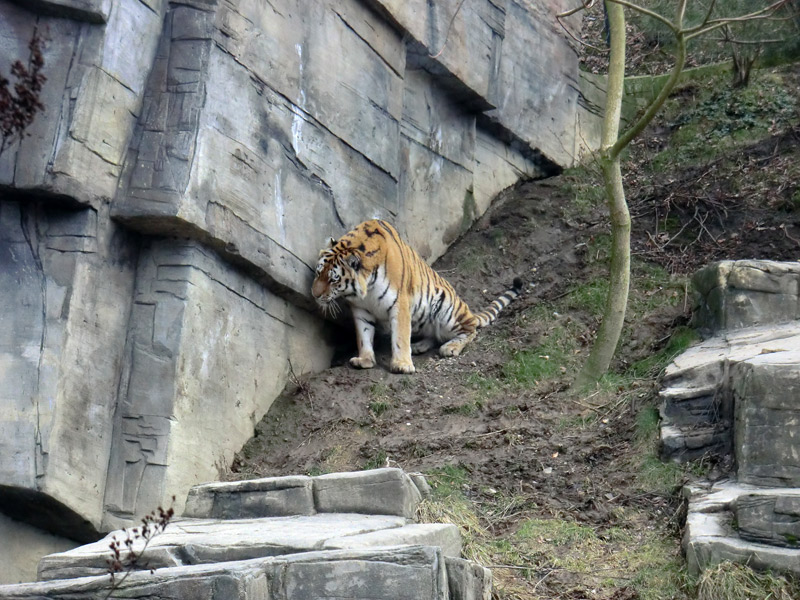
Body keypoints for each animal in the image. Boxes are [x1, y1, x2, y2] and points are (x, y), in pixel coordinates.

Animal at [312, 218, 524, 372]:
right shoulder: (360, 309)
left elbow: (400, 336)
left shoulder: (400, 303)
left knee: (470, 331)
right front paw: (364, 360)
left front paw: (402, 365)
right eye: (318, 272)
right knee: (434, 335)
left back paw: (450, 347)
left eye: (333, 280)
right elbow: (363, 335)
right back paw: (420, 346)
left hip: (447, 310)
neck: (366, 290)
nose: (314, 295)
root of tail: (470, 313)